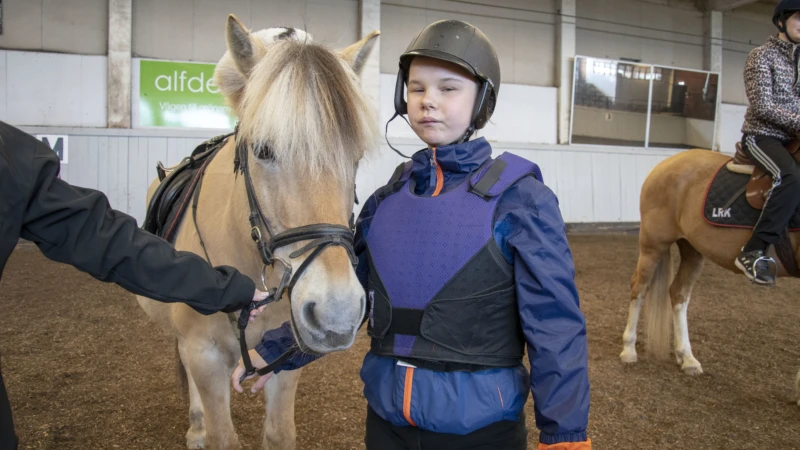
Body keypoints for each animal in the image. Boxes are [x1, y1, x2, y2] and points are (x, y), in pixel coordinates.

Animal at [138, 14, 382, 450]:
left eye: (354, 158)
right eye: (263, 150)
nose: (336, 313)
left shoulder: (285, 359)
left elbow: (279, 433)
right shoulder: (205, 356)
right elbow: (221, 436)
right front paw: (204, 429)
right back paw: (196, 426)